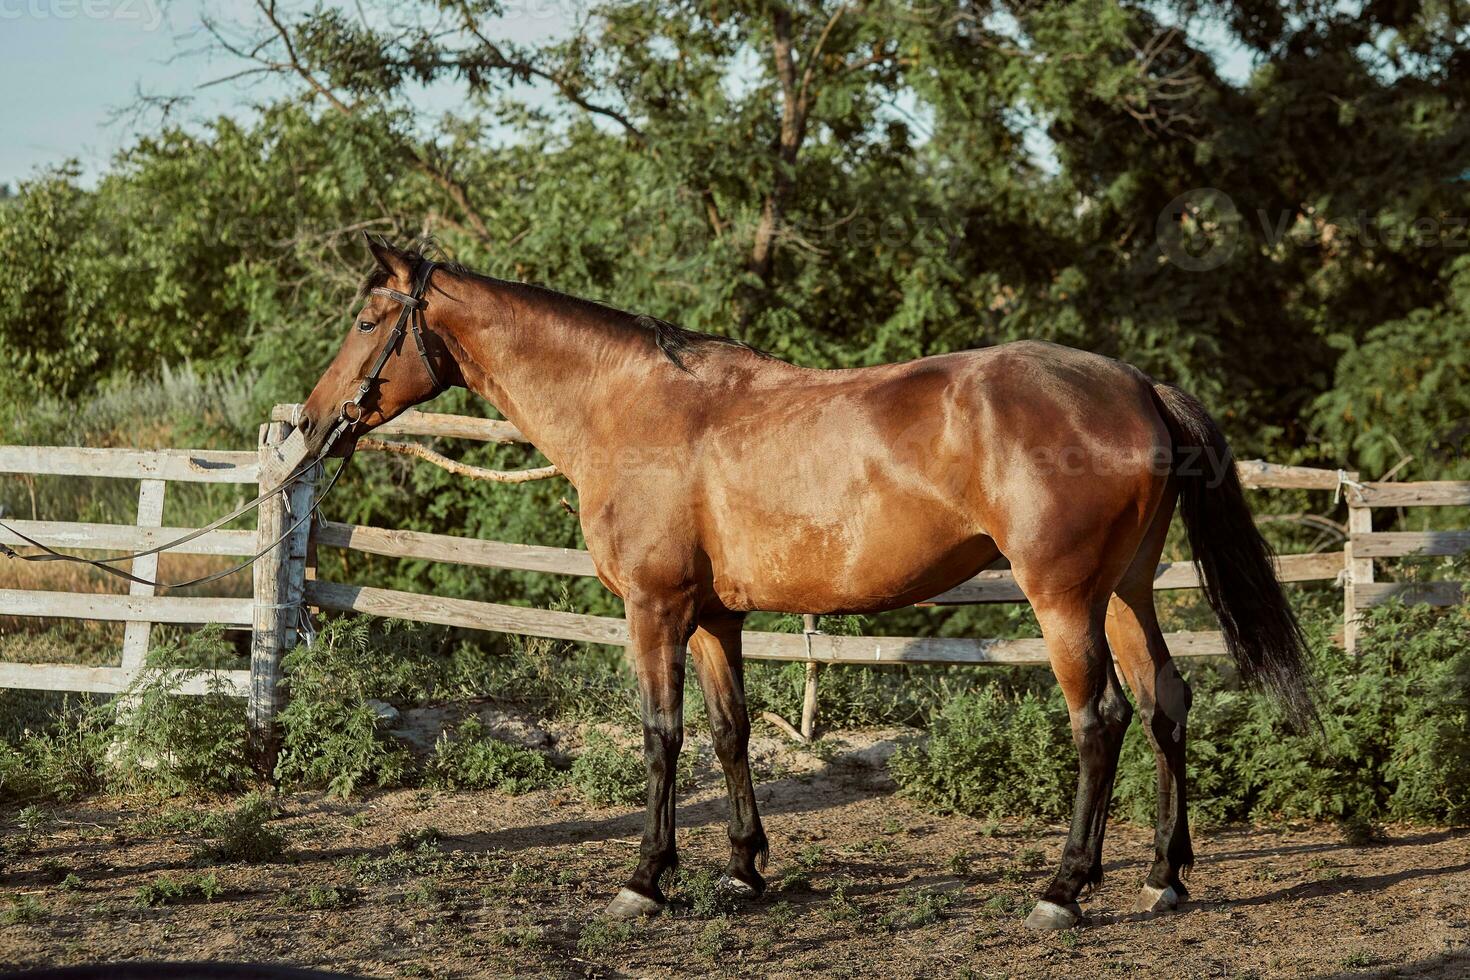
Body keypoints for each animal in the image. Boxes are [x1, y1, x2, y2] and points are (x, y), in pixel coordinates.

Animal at [292, 235, 1317, 928]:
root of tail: (1139, 387)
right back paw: (1163, 876)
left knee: (1098, 721)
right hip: (1126, 594)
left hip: (1065, 602)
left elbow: (661, 737)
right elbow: (729, 733)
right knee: (1166, 704)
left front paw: (645, 880)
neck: (634, 408)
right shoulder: (715, 619)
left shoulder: (654, 611)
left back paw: (1065, 889)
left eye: (367, 321)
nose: (311, 423)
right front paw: (743, 868)